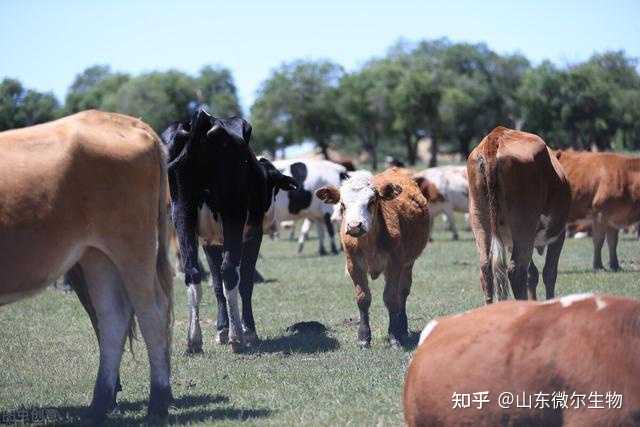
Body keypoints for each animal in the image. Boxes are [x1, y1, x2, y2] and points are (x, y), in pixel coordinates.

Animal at [0, 110, 174, 422]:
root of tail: (127, 121)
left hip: (133, 246)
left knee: (152, 311)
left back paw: (157, 402)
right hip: (97, 255)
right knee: (112, 316)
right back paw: (99, 405)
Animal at [162, 108, 298, 354]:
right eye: (273, 188)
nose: (273, 223)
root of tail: (203, 121)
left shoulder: (209, 241)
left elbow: (216, 285)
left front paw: (222, 329)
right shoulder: (252, 235)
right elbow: (245, 282)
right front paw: (247, 330)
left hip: (182, 216)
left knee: (193, 272)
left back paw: (194, 340)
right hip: (233, 217)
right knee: (229, 272)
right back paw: (237, 338)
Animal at [316, 169, 430, 350]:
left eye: (371, 201)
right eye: (342, 204)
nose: (355, 226)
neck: (369, 243)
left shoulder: (394, 265)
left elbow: (391, 298)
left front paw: (394, 336)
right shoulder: (354, 266)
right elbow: (363, 298)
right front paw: (364, 338)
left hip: (408, 264)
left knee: (402, 293)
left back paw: (402, 327)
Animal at [464, 127, 568, 304]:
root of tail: (496, 136)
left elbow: (533, 274)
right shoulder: (558, 234)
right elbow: (549, 272)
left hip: (479, 218)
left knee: (486, 267)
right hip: (524, 225)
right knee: (516, 271)